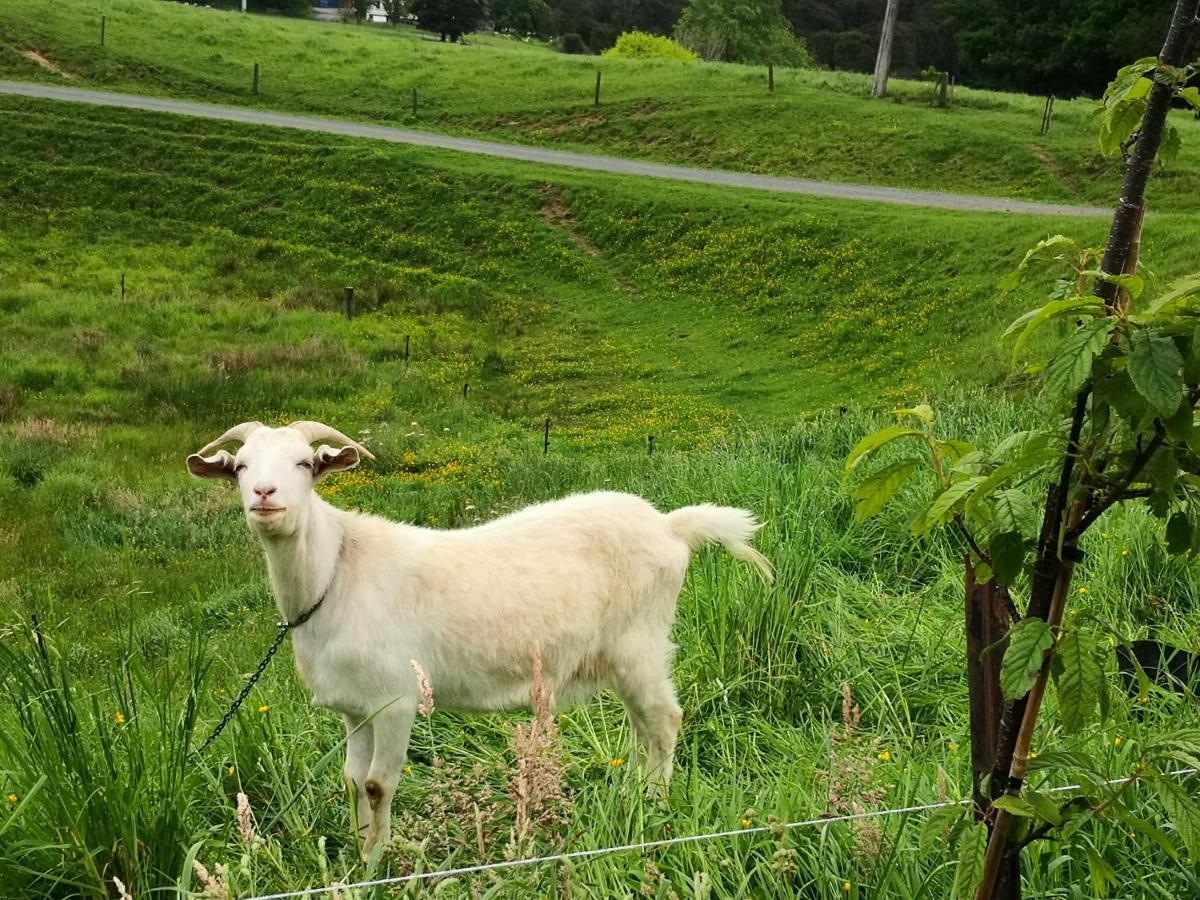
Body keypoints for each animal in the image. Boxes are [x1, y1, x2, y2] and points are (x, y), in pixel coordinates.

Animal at [187, 422, 768, 859]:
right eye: (240, 467)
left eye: (306, 464)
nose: (265, 496)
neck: (334, 572)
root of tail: (671, 527)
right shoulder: (357, 710)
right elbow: (353, 782)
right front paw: (358, 857)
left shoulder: (397, 700)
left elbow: (378, 785)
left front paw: (379, 863)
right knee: (643, 727)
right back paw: (634, 796)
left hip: (640, 643)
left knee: (664, 720)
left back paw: (655, 807)